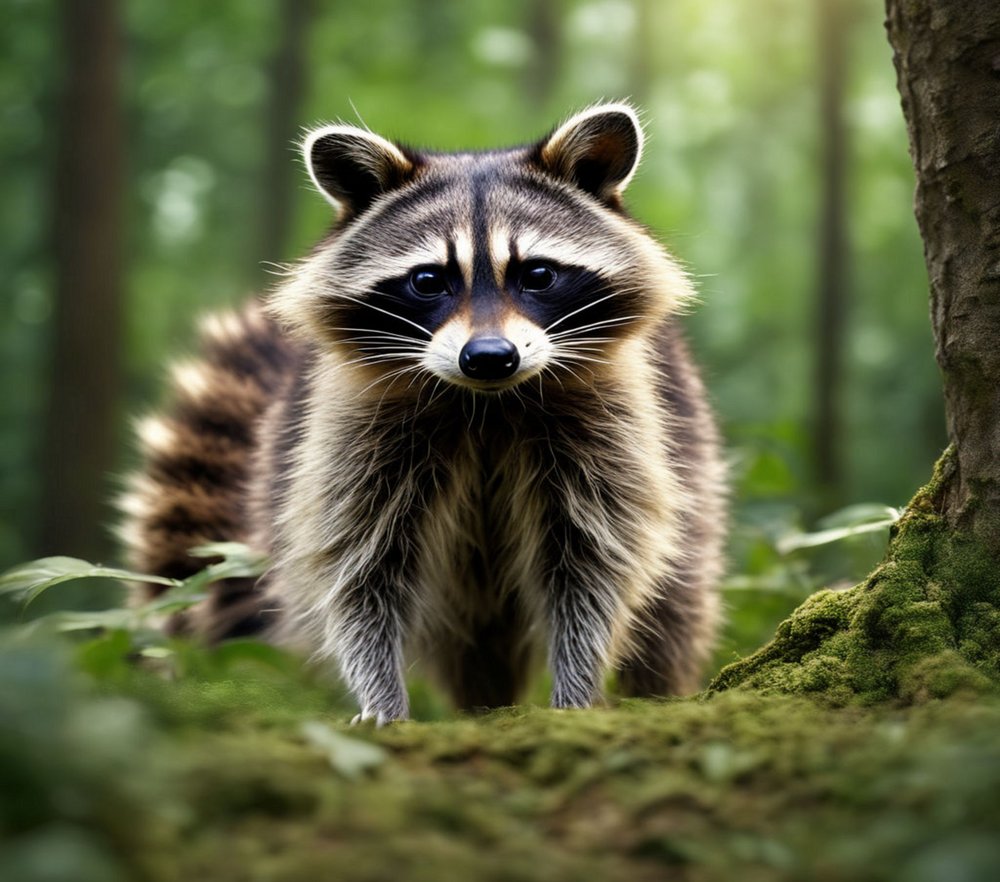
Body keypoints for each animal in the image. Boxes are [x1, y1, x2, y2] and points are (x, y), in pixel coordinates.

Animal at [119, 103, 726, 723]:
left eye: (537, 275)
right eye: (429, 280)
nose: (490, 357)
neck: (487, 404)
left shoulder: (615, 423)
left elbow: (595, 563)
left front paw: (577, 690)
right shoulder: (347, 430)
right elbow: (354, 566)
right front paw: (380, 697)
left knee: (675, 605)